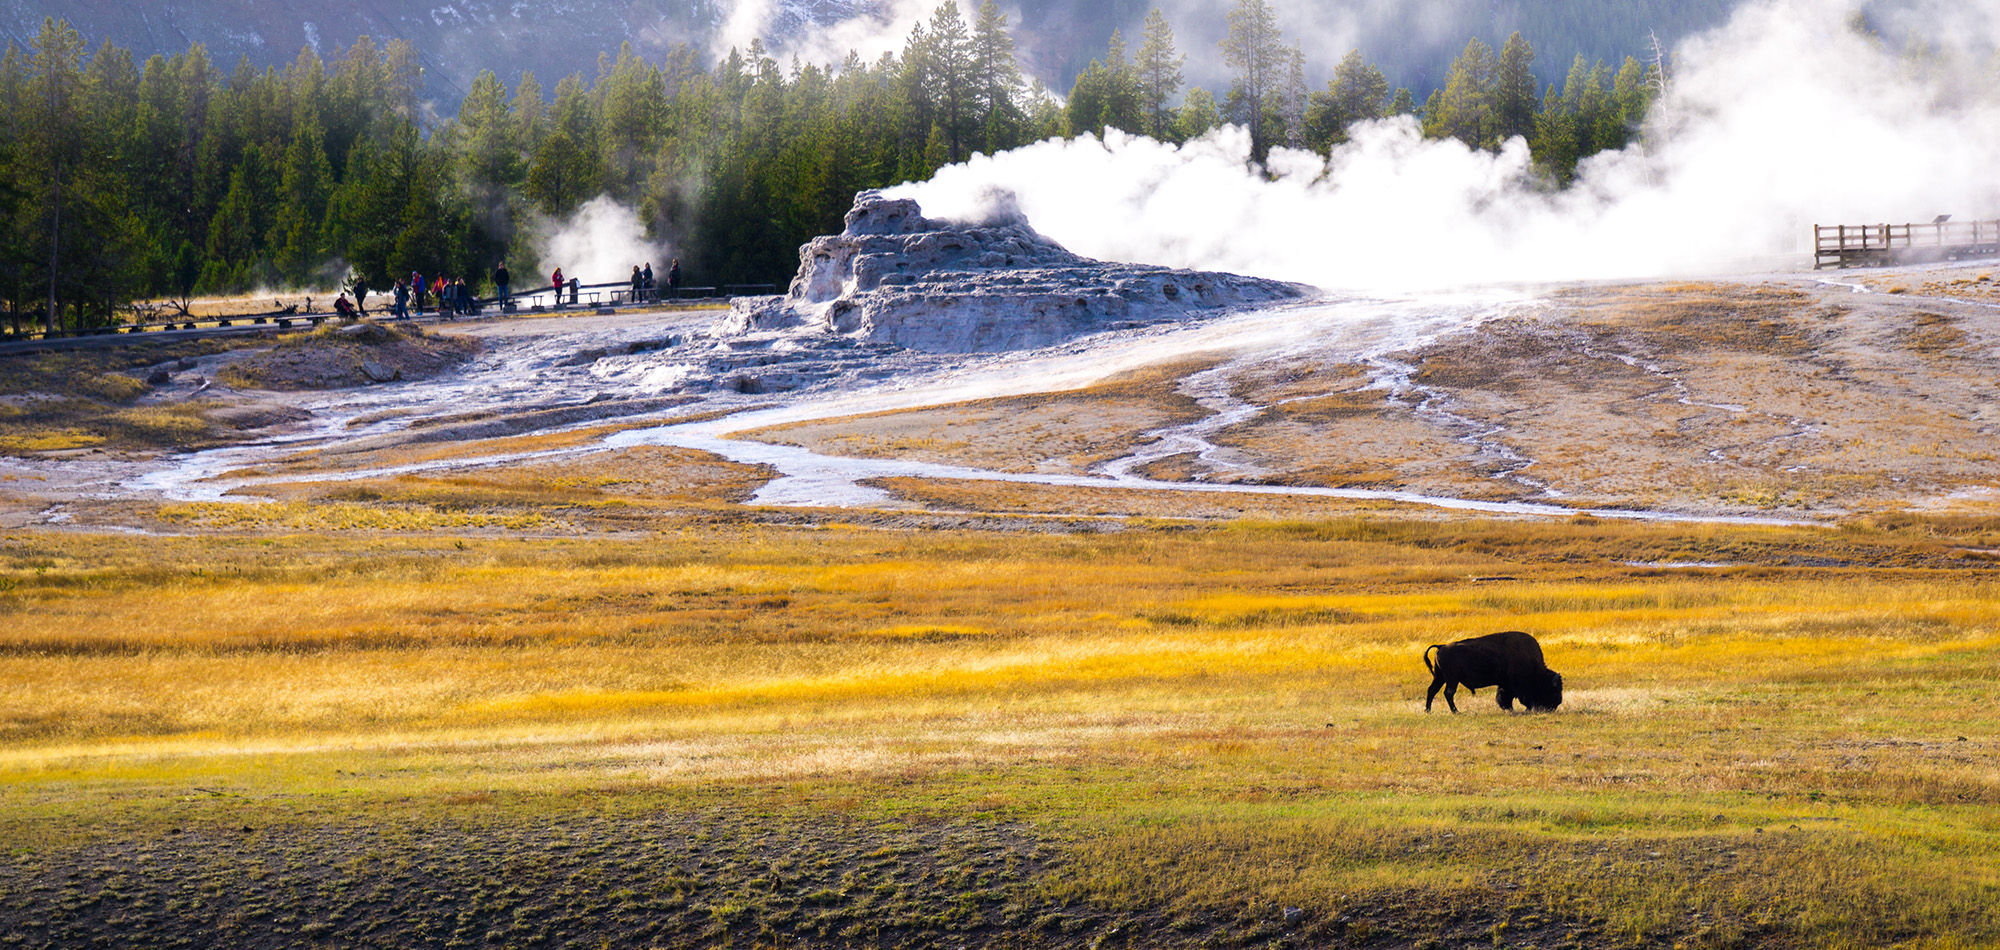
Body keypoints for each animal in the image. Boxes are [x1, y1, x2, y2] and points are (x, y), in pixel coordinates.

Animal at [1424, 632, 1560, 712]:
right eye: (1553, 689)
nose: (1555, 705)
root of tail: (1442, 646)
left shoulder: (1505, 684)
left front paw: (1509, 709)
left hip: (1440, 677)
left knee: (1432, 690)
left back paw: (1428, 711)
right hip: (1452, 679)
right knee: (1448, 693)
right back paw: (1456, 711)